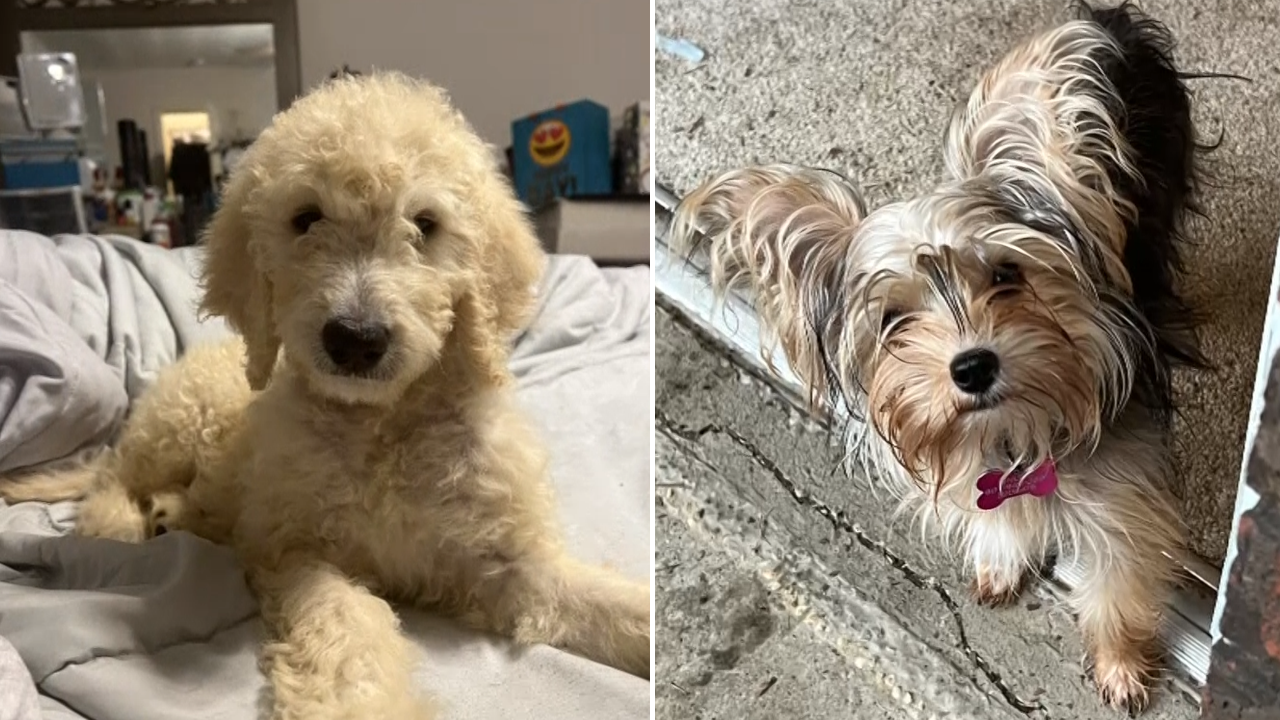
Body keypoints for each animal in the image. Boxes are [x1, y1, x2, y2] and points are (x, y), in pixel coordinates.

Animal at [2, 70, 650, 712]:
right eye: (307, 218)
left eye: (425, 225)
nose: (355, 339)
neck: (381, 424)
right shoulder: (300, 552)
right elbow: (346, 634)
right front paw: (358, 703)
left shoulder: (508, 566)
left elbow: (598, 601)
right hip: (178, 423)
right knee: (112, 475)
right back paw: (117, 523)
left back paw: (173, 512)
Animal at [670, 1, 1218, 712]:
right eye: (892, 320)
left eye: (1007, 274)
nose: (972, 367)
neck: (1008, 431)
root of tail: (1107, 16)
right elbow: (999, 520)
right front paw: (1003, 559)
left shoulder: (1123, 501)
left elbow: (1117, 587)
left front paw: (1121, 667)